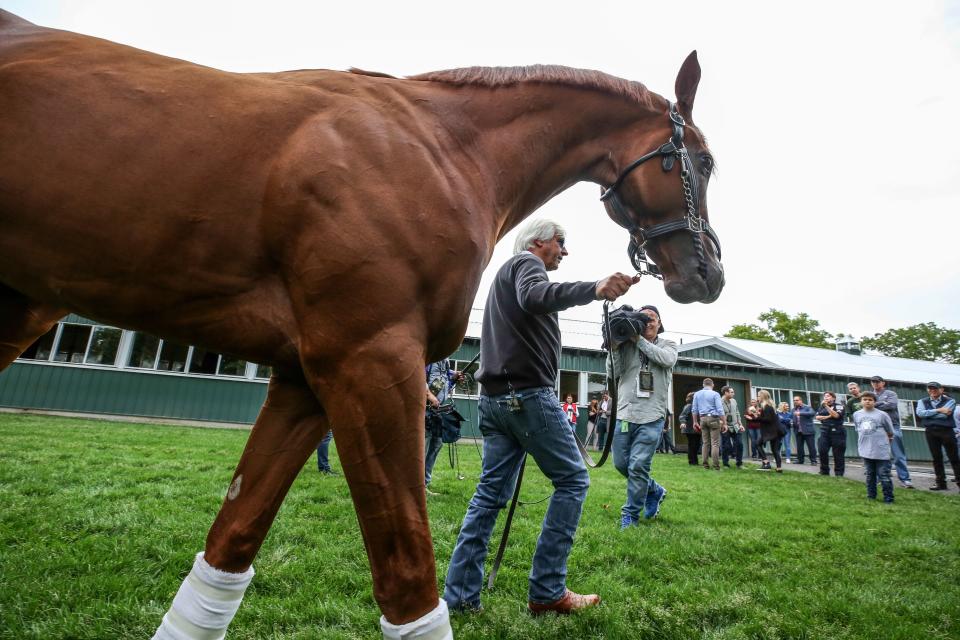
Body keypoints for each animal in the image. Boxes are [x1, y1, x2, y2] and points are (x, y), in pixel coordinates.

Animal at [0, 10, 720, 640]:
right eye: (705, 163)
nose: (709, 273)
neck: (443, 147)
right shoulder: (371, 359)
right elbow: (408, 583)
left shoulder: (303, 380)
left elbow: (230, 548)